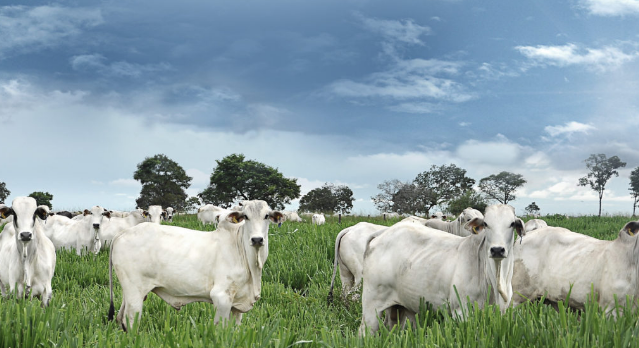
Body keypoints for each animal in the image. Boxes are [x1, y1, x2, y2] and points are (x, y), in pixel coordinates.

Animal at [109, 200, 284, 330]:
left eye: (266, 216)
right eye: (246, 216)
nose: (257, 239)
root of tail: (122, 234)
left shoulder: (237, 304)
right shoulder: (221, 297)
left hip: (130, 291)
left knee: (120, 318)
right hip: (134, 294)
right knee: (130, 320)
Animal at [360, 204, 524, 334]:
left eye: (512, 224)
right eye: (486, 223)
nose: (497, 250)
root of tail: (382, 233)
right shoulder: (461, 311)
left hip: (402, 308)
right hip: (371, 304)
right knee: (364, 331)